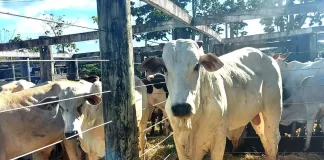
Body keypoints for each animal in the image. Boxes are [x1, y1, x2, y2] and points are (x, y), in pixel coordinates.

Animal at [138, 39, 282, 160]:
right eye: (164, 68)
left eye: (197, 66)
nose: (181, 108)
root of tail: (267, 56)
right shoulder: (179, 141)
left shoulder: (219, 140)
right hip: (257, 117)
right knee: (265, 140)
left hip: (272, 112)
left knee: (273, 139)